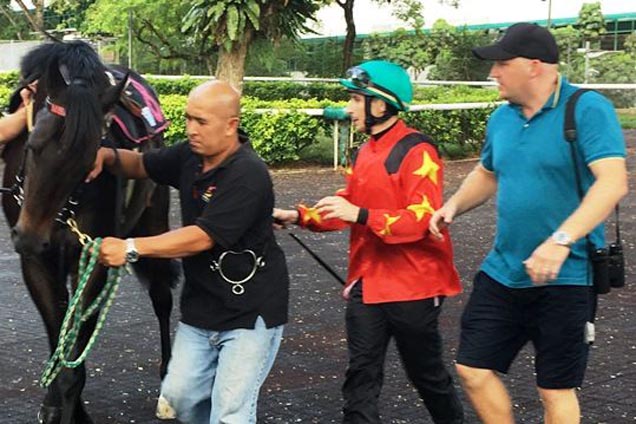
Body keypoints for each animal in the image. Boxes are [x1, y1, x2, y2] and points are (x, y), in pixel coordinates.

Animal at [1, 40, 179, 424]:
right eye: (33, 144)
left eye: (88, 161)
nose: (30, 236)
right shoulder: (36, 263)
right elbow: (57, 334)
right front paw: (58, 404)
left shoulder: (95, 257)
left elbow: (75, 345)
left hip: (155, 220)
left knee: (162, 297)